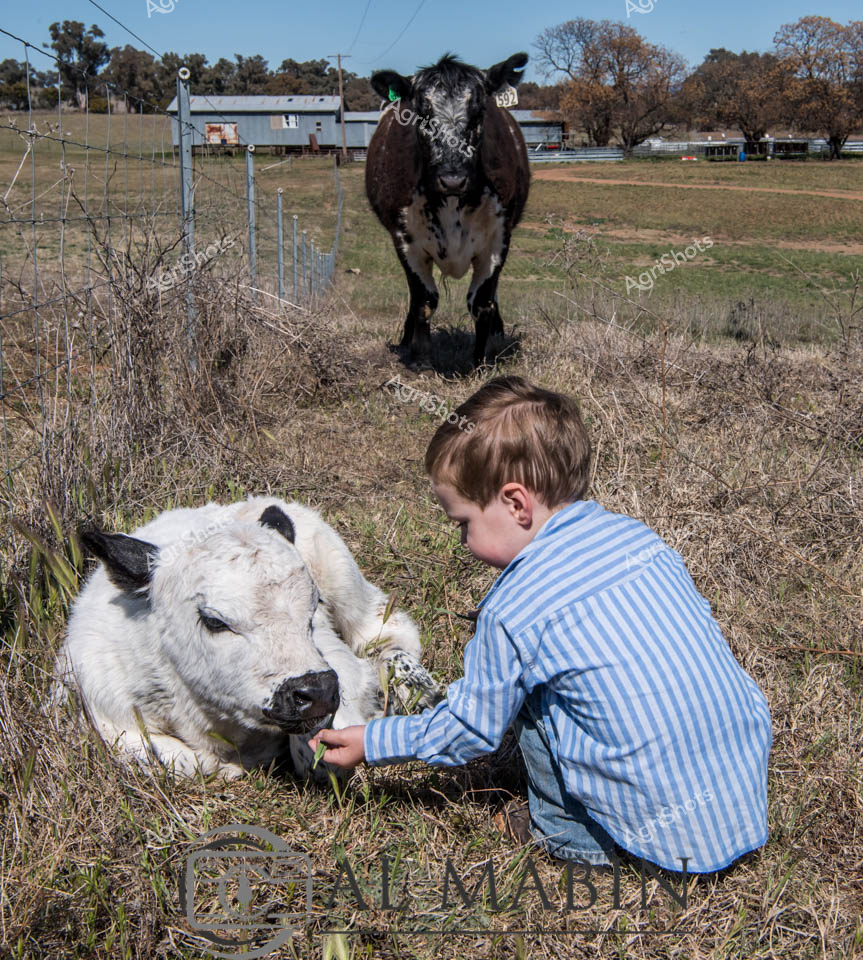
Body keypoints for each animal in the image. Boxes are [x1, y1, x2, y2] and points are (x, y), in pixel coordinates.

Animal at [53, 496, 440, 781]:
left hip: (343, 576)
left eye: (314, 606)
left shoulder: (340, 669)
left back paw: (415, 685)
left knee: (386, 630)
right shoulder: (99, 707)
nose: (316, 692)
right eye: (213, 621)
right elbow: (179, 762)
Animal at [366, 53, 530, 368]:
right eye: (421, 113)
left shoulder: (498, 239)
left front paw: (480, 363)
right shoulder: (404, 240)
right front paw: (420, 360)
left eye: (479, 112)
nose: (452, 179)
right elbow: (423, 302)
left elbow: (482, 303)